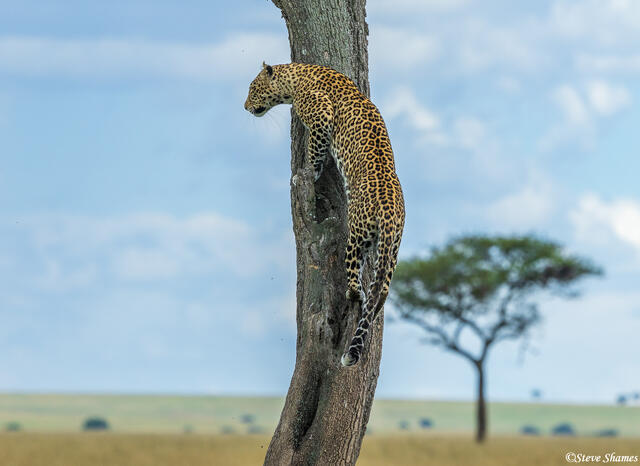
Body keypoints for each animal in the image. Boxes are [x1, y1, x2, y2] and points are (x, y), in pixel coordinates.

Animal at [244, 62, 405, 367]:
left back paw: (353, 292)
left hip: (357, 234)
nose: (245, 106)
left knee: (354, 275)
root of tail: (390, 212)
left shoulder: (321, 115)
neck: (297, 76)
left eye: (253, 88)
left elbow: (315, 152)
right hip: (391, 249)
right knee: (382, 290)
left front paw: (309, 172)